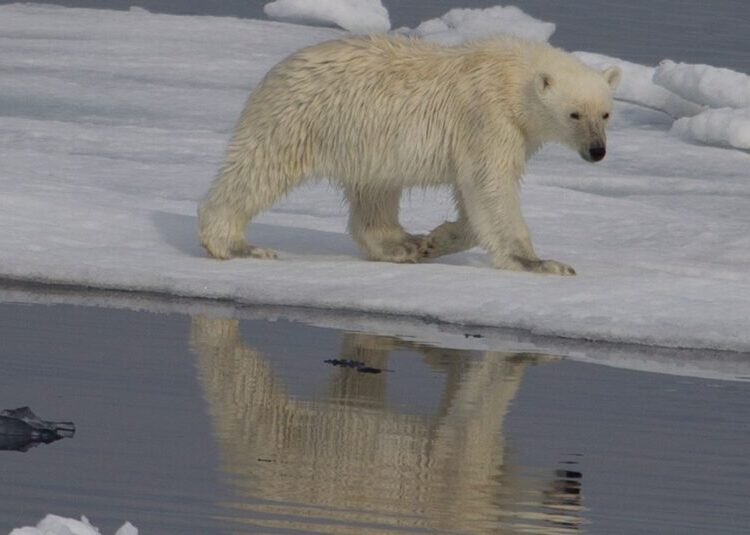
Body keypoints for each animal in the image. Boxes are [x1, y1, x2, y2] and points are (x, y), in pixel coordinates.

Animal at [197, 34, 621, 275]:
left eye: (605, 113)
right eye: (574, 113)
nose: (597, 151)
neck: (512, 77)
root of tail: (277, 70)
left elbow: (474, 194)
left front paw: (435, 240)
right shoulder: (488, 117)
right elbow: (491, 185)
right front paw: (541, 263)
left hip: (365, 141)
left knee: (375, 192)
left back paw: (401, 245)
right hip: (300, 118)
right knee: (259, 169)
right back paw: (235, 244)